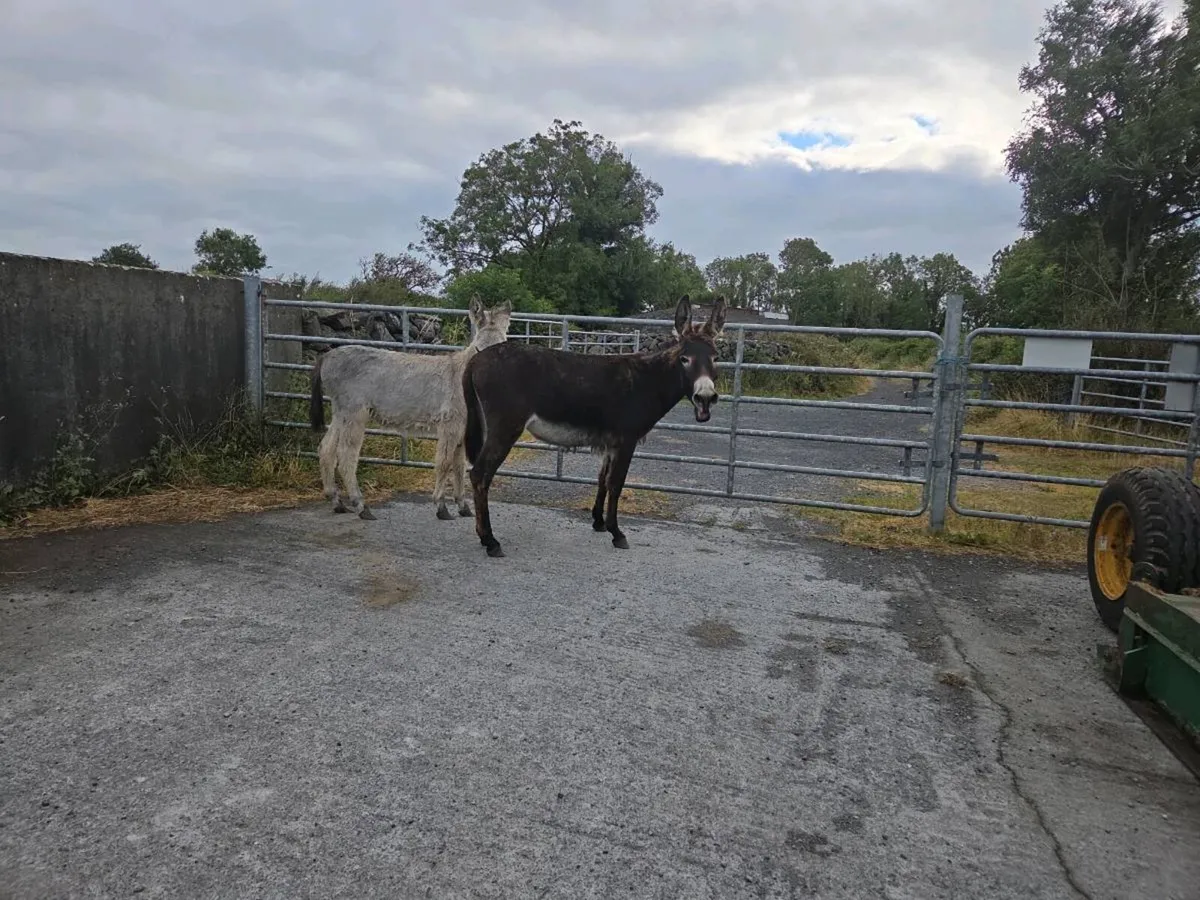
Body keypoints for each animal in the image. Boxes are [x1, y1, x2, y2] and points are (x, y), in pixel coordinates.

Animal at [309, 298, 512, 521]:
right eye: (478, 349)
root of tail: (328, 356)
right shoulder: (450, 426)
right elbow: (444, 463)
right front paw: (441, 507)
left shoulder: (462, 430)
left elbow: (459, 466)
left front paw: (462, 506)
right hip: (355, 413)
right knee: (346, 456)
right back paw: (361, 506)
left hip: (341, 412)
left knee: (326, 449)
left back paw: (336, 501)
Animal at [461, 294, 727, 558]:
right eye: (685, 359)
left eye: (716, 358)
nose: (705, 398)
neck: (648, 381)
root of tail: (476, 359)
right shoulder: (626, 440)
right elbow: (616, 483)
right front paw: (617, 533)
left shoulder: (611, 442)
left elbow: (602, 479)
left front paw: (598, 521)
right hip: (505, 427)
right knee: (479, 474)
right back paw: (490, 540)